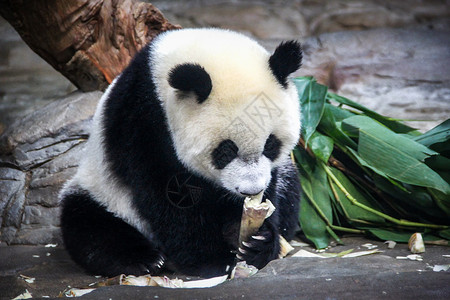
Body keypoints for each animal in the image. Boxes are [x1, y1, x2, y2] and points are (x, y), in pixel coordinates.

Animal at [58, 28, 300, 278]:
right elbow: (169, 195)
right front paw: (213, 258)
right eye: (225, 151)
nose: (250, 190)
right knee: (89, 224)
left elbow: (269, 192)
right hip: (102, 190)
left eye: (270, 145)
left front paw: (254, 240)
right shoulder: (143, 122)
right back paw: (144, 259)